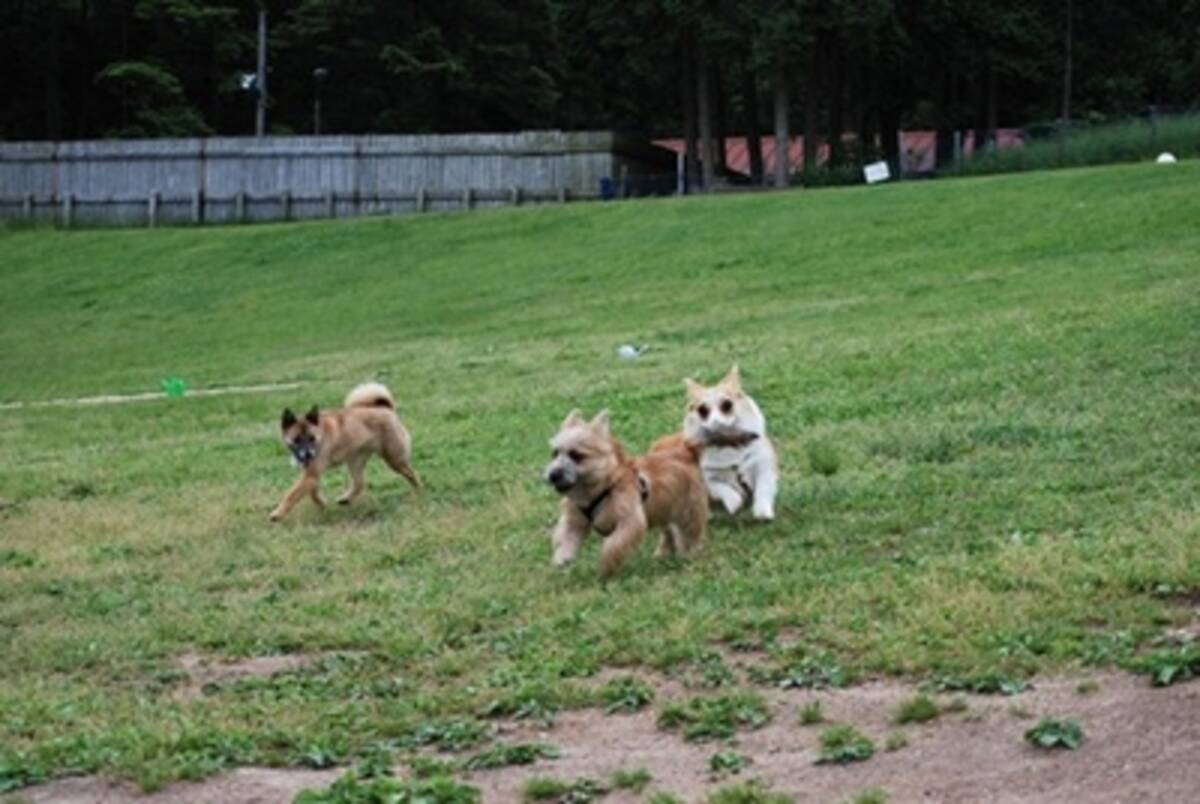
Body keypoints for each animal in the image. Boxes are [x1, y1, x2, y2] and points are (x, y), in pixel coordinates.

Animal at [268, 381, 422, 523]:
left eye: (312, 438)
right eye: (297, 439)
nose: (308, 454)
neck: (321, 434)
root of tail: (386, 408)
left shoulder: (310, 474)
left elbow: (291, 495)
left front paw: (278, 513)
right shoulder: (310, 474)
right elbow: (312, 492)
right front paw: (322, 504)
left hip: (394, 459)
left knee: (412, 474)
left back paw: (417, 492)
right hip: (355, 461)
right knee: (360, 483)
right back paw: (346, 499)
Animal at [686, 367, 777, 523]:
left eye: (726, 405)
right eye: (703, 411)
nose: (715, 421)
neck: (728, 442)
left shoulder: (764, 467)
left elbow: (763, 489)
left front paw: (762, 511)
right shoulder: (707, 477)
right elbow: (722, 488)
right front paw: (733, 502)